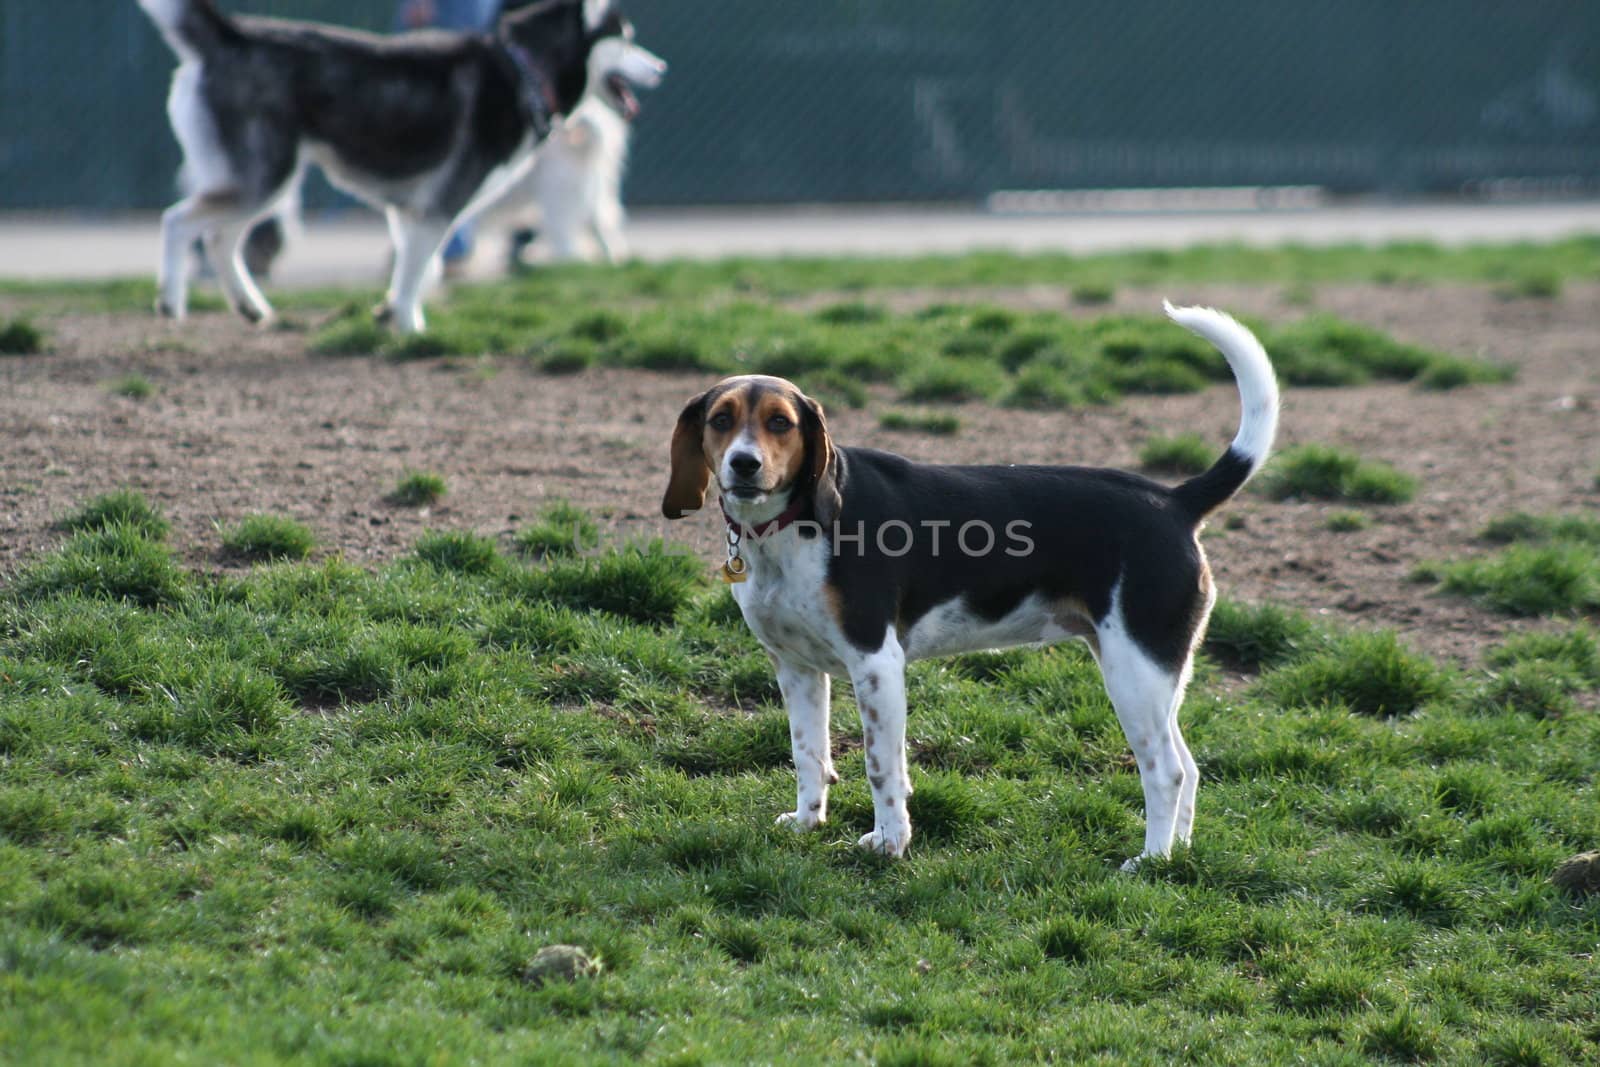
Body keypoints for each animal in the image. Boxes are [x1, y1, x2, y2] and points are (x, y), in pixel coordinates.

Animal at [136, 0, 662, 334]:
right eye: (627, 39)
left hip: (267, 182)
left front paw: (390, 313)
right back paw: (172, 301)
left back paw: (251, 307)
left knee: (220, 238)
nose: (661, 68)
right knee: (179, 220)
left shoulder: (411, 211)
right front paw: (411, 326)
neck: (525, 71)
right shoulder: (440, 206)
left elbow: (417, 267)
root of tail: (233, 34)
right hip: (263, 178)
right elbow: (417, 269)